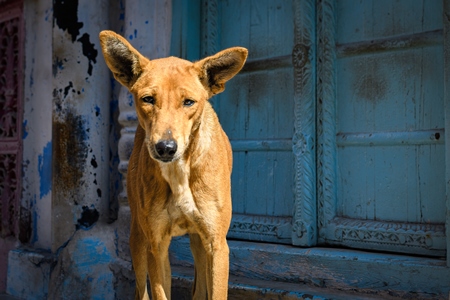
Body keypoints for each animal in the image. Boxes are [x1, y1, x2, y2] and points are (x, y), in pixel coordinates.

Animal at [99, 29, 248, 298]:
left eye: (188, 102)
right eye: (148, 99)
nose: (166, 148)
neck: (179, 171)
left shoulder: (216, 244)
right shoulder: (156, 244)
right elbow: (158, 291)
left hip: (199, 242)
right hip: (138, 239)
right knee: (141, 289)